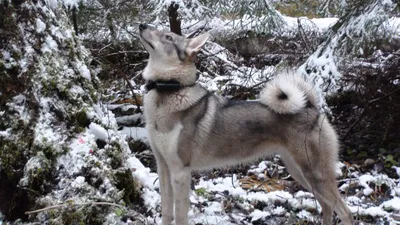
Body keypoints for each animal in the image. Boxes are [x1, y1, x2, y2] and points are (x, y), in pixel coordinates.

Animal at [138, 23, 354, 224]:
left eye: (168, 36)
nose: (142, 25)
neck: (169, 90)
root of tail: (311, 107)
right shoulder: (164, 168)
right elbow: (167, 212)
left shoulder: (180, 172)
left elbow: (180, 216)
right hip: (300, 173)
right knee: (327, 207)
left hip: (315, 175)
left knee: (345, 212)